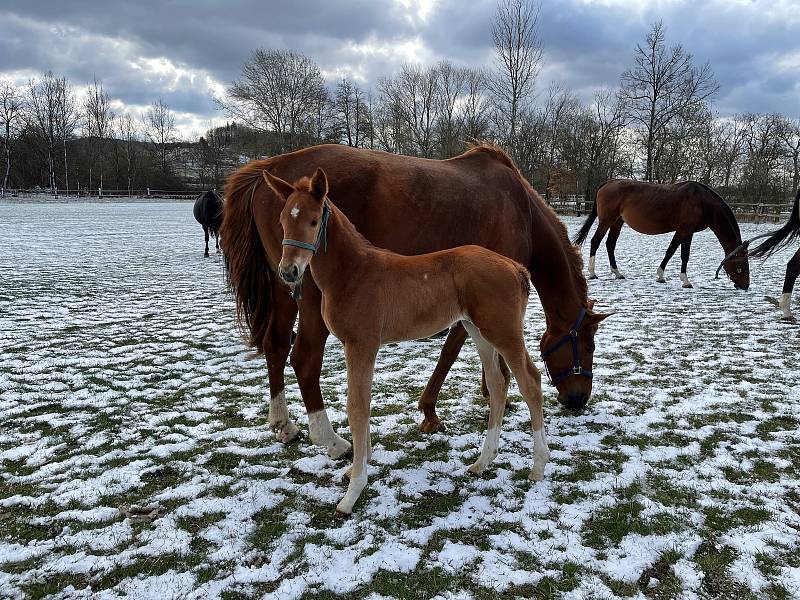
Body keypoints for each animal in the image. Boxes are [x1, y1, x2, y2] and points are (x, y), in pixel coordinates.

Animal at [219, 144, 608, 460]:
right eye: (588, 345)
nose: (578, 400)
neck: (521, 208)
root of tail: (270, 166)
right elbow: (452, 349)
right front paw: (432, 411)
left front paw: (492, 391)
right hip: (309, 297)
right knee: (303, 358)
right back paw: (331, 441)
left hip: (284, 287)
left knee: (275, 346)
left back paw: (283, 425)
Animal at [266, 169, 560, 516]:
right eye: (283, 220)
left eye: (313, 221)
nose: (288, 271)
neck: (353, 274)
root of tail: (516, 268)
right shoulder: (361, 347)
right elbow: (363, 403)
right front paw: (356, 469)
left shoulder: (361, 344)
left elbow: (357, 407)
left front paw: (352, 492)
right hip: (477, 331)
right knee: (498, 384)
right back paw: (482, 462)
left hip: (503, 332)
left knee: (530, 381)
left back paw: (538, 466)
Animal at [576, 179, 752, 290]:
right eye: (741, 265)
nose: (745, 286)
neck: (703, 203)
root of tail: (608, 183)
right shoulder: (687, 231)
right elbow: (684, 255)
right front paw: (685, 281)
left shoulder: (680, 231)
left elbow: (670, 251)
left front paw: (660, 276)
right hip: (606, 221)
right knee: (595, 241)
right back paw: (592, 273)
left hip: (617, 223)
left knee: (610, 244)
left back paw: (617, 273)